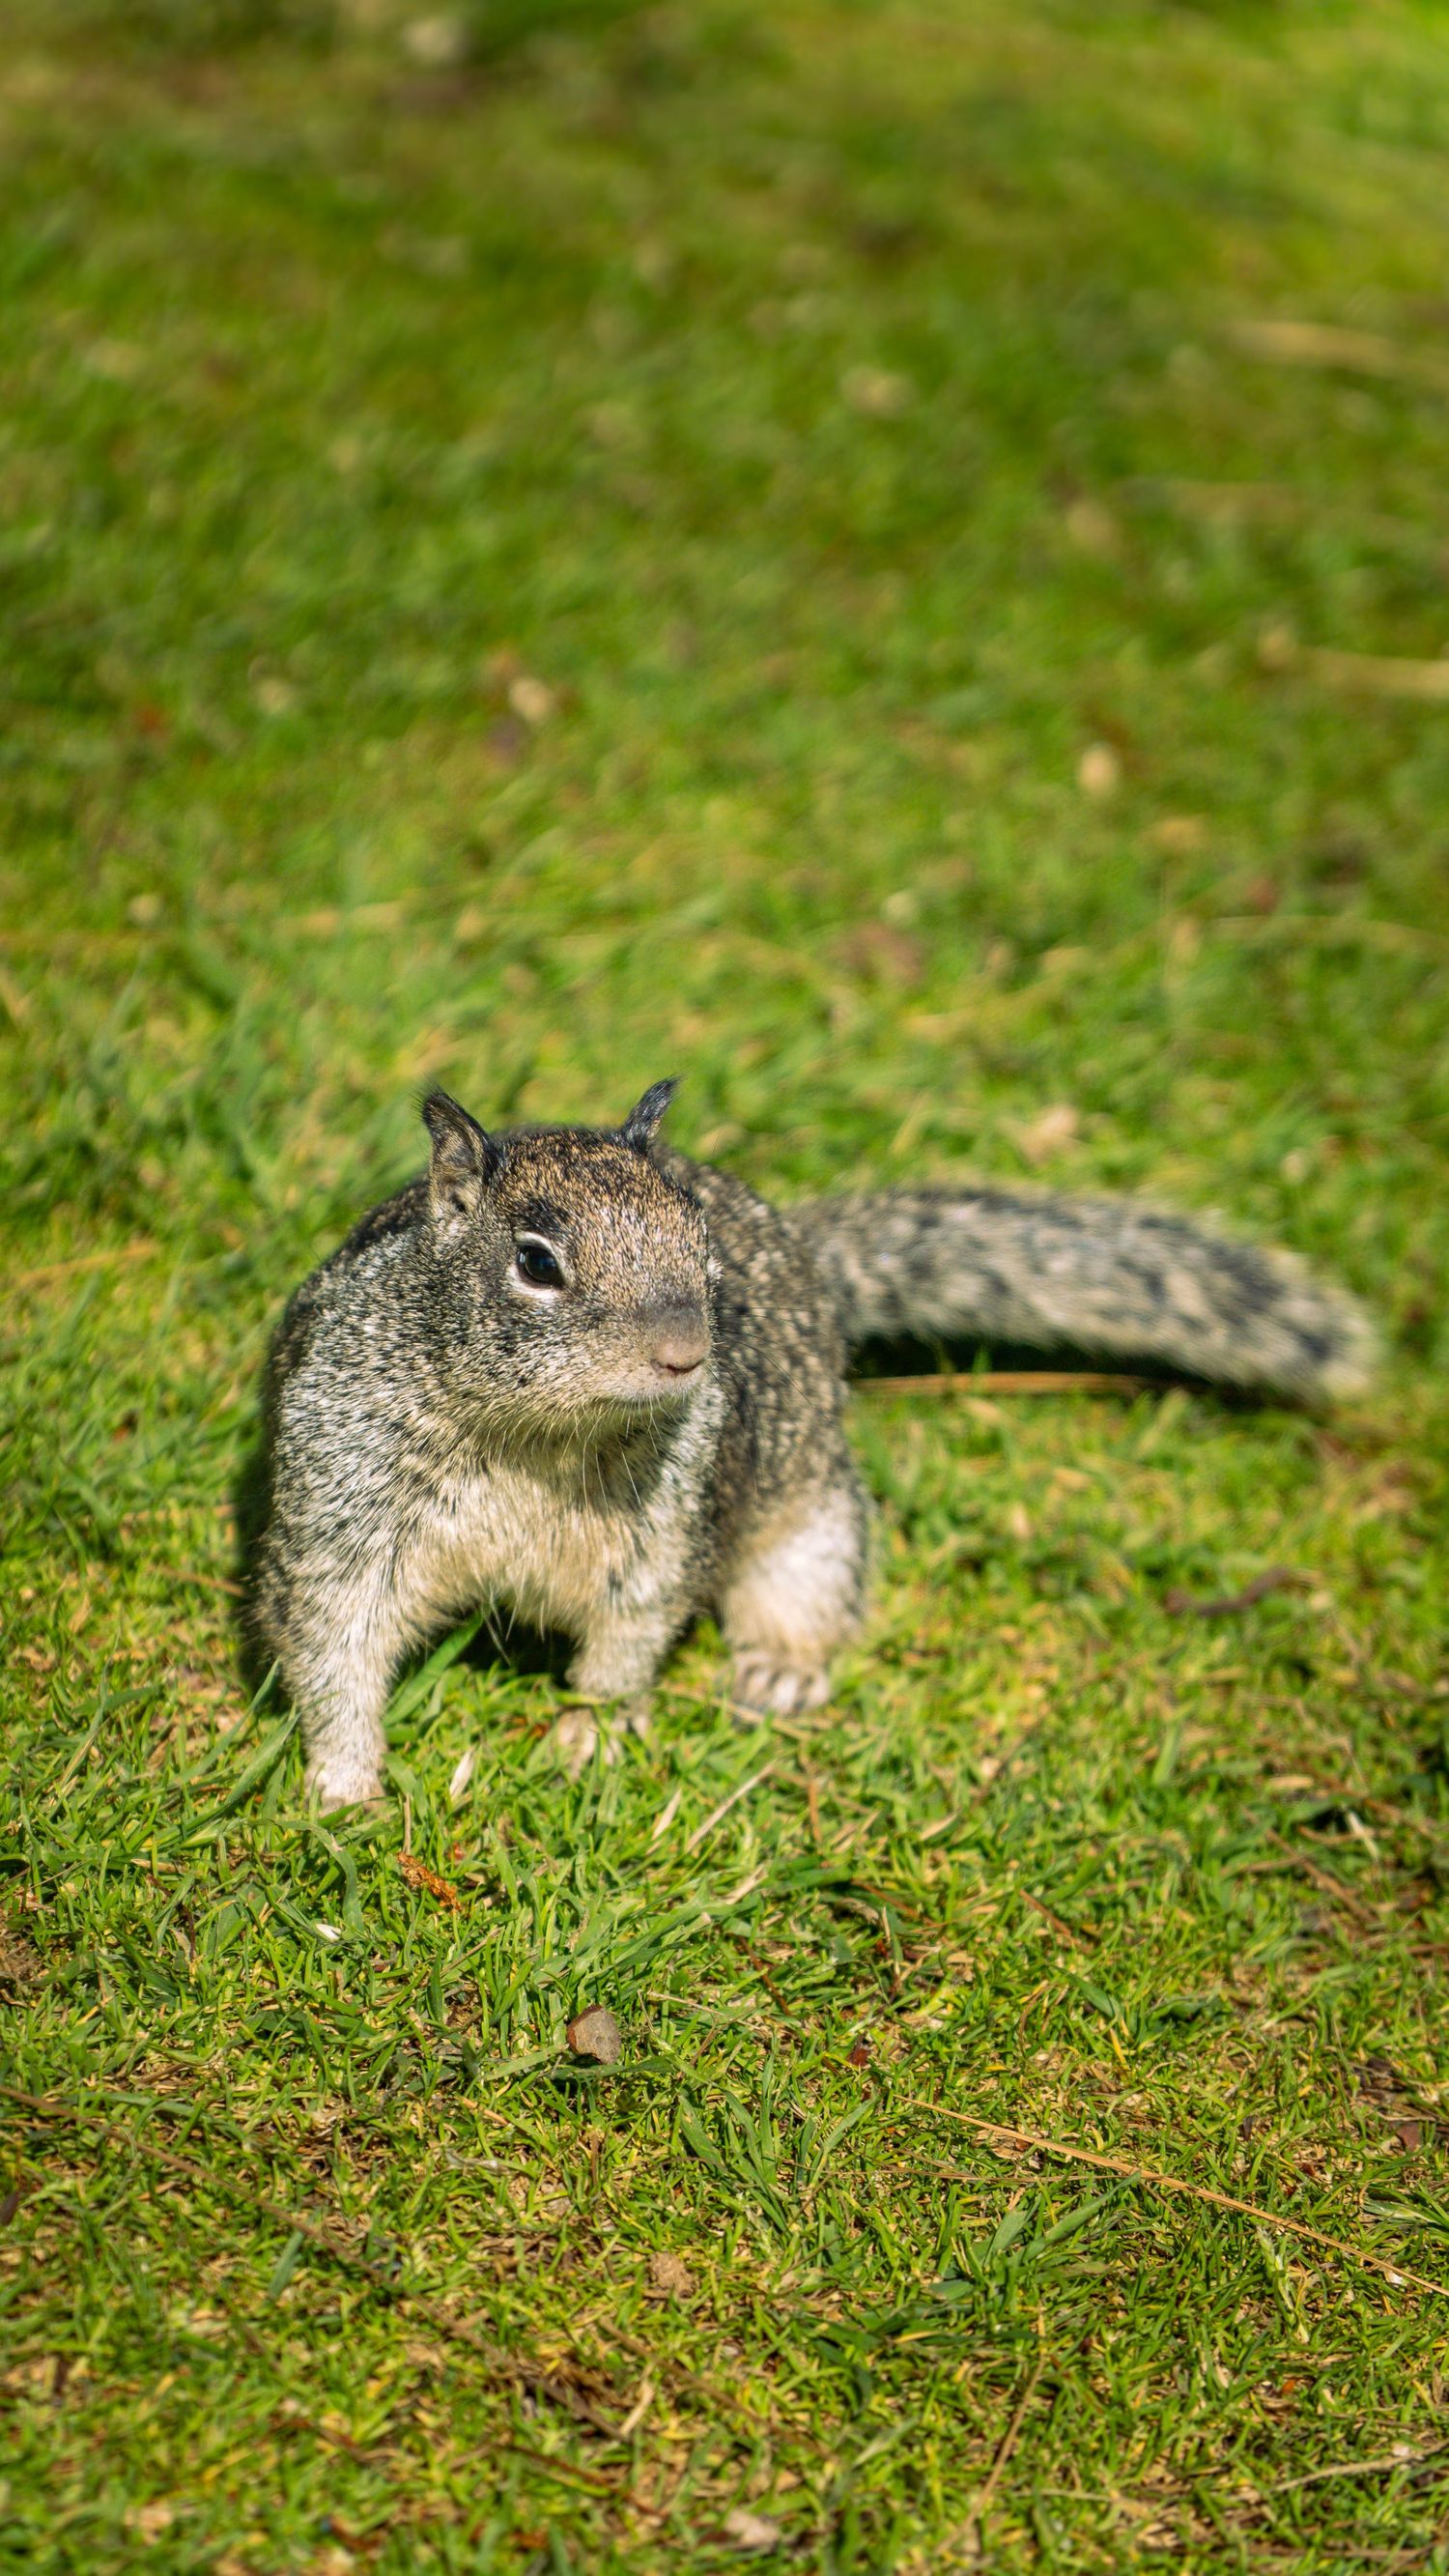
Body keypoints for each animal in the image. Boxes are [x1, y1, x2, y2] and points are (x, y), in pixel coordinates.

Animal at [253, 1080, 1375, 1809]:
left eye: (697, 1238)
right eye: (535, 1262)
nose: (687, 1352)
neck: (531, 1433)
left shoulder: (663, 1534)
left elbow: (627, 1640)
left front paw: (591, 1736)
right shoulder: (339, 1504)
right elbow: (332, 1643)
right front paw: (345, 1789)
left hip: (818, 1519)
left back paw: (781, 1670)